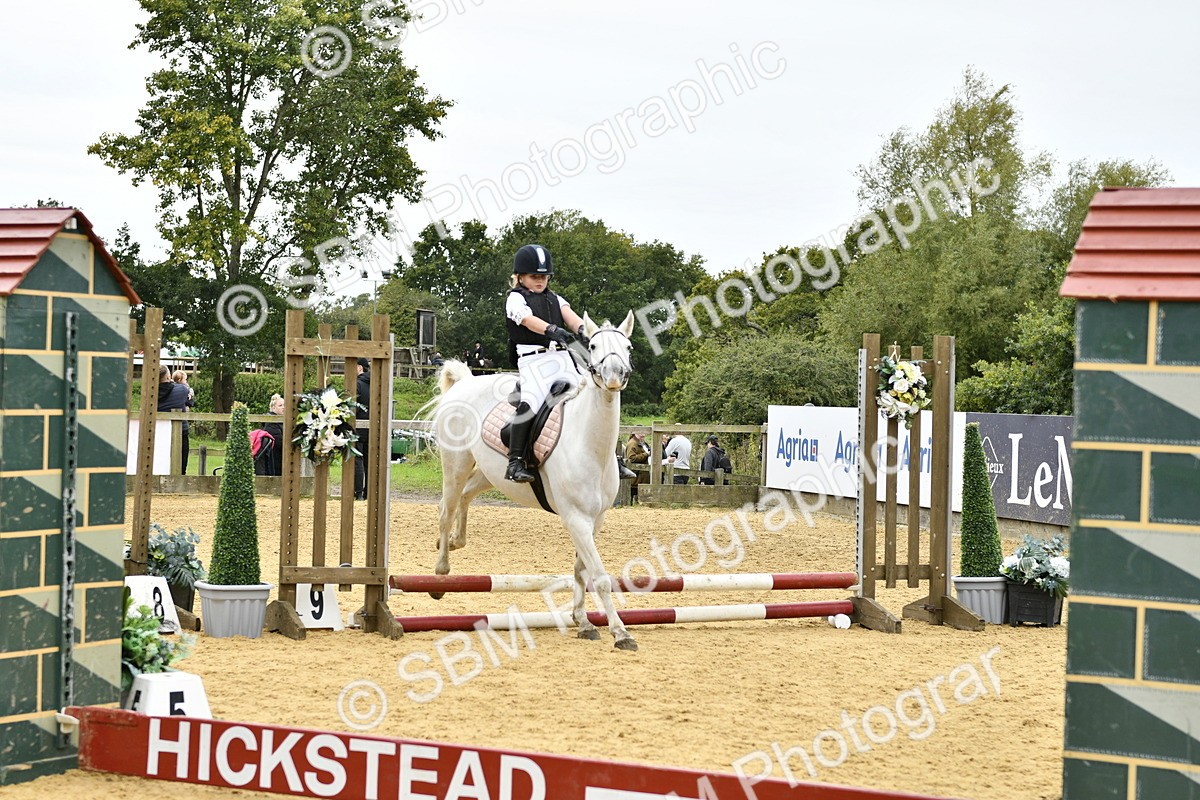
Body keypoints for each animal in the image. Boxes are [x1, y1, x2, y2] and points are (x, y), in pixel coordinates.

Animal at [430, 311, 638, 650]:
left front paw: (582, 622)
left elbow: (581, 571)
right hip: (456, 464)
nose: (614, 376)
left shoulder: (594, 520)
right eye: (593, 346)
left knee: (464, 497)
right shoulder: (575, 518)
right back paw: (440, 574)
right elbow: (599, 577)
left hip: (489, 475)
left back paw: (453, 541)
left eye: (628, 347)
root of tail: (465, 382)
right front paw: (620, 632)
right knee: (445, 511)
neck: (589, 442)